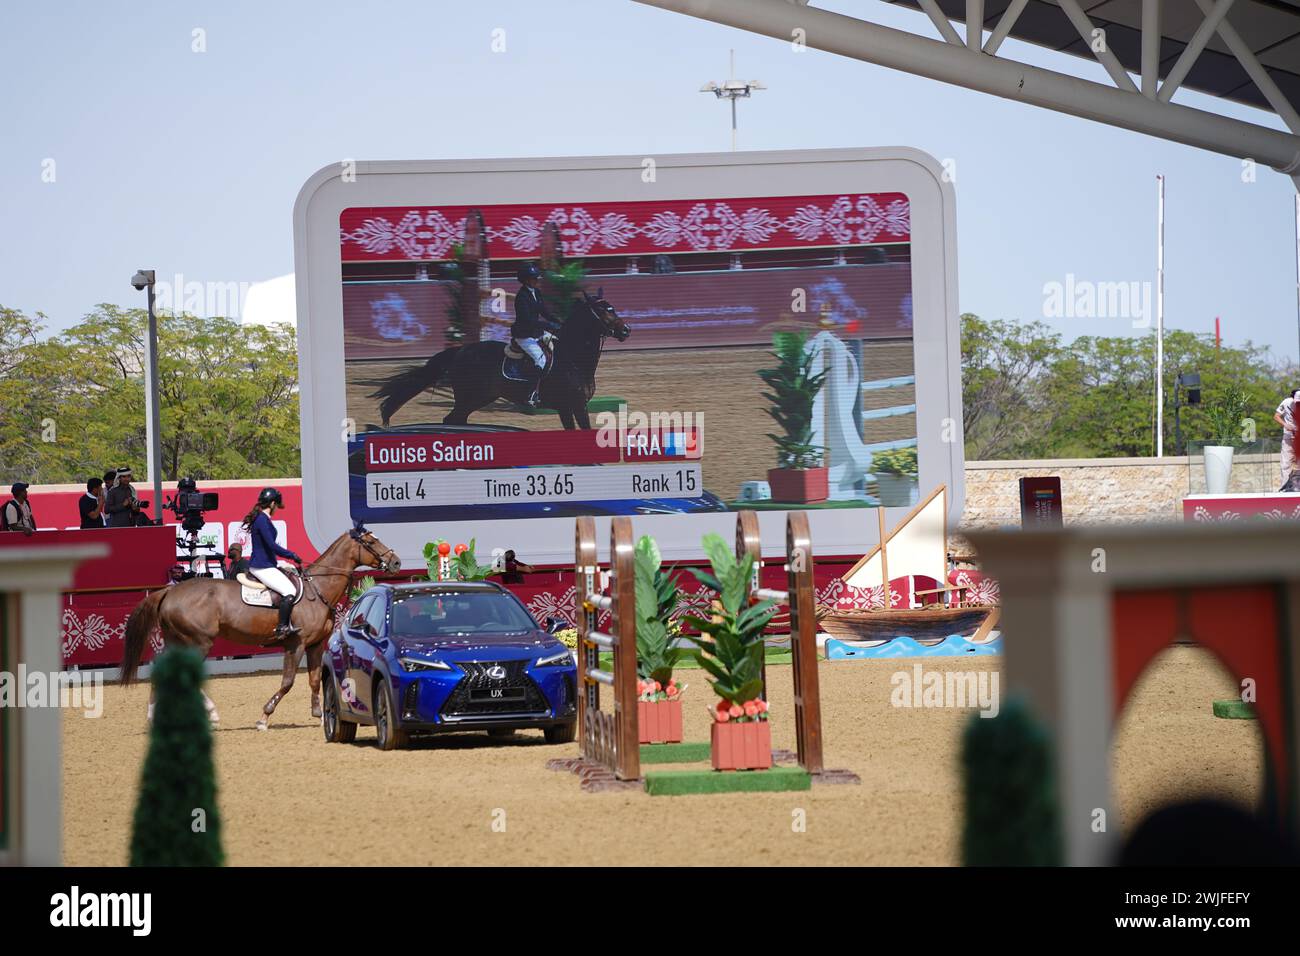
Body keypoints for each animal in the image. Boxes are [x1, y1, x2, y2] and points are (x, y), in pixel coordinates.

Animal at [122, 528, 397, 728]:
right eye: (370, 541)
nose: (395, 562)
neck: (317, 590)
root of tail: (170, 591)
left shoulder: (316, 645)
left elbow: (314, 680)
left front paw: (320, 715)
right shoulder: (295, 644)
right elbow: (287, 682)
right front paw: (265, 716)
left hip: (177, 640)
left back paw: (154, 716)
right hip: (198, 642)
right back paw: (211, 714)